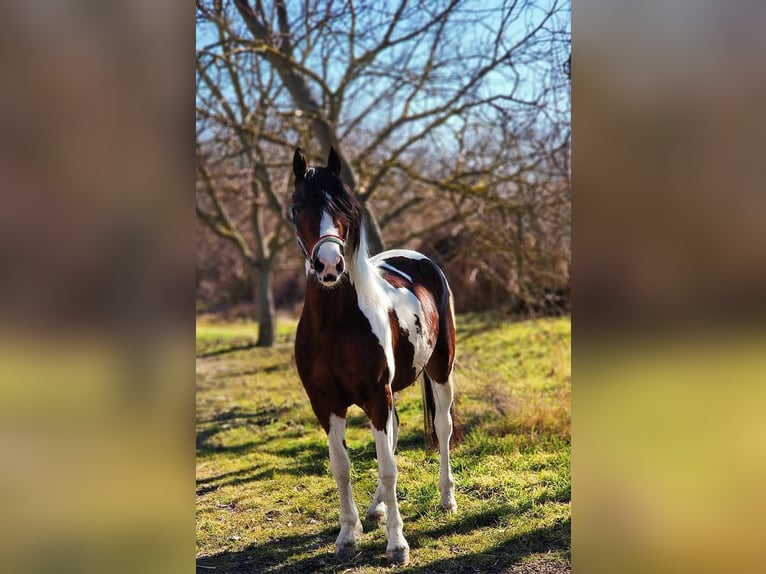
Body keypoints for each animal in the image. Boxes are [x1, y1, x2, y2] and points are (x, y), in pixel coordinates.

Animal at [289, 147, 457, 566]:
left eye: (344, 207)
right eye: (297, 207)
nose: (329, 265)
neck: (335, 323)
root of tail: (419, 259)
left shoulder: (376, 396)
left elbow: (387, 468)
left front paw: (397, 545)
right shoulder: (326, 404)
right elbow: (342, 468)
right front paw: (348, 535)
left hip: (440, 370)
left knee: (443, 429)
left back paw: (447, 498)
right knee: (394, 433)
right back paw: (377, 508)